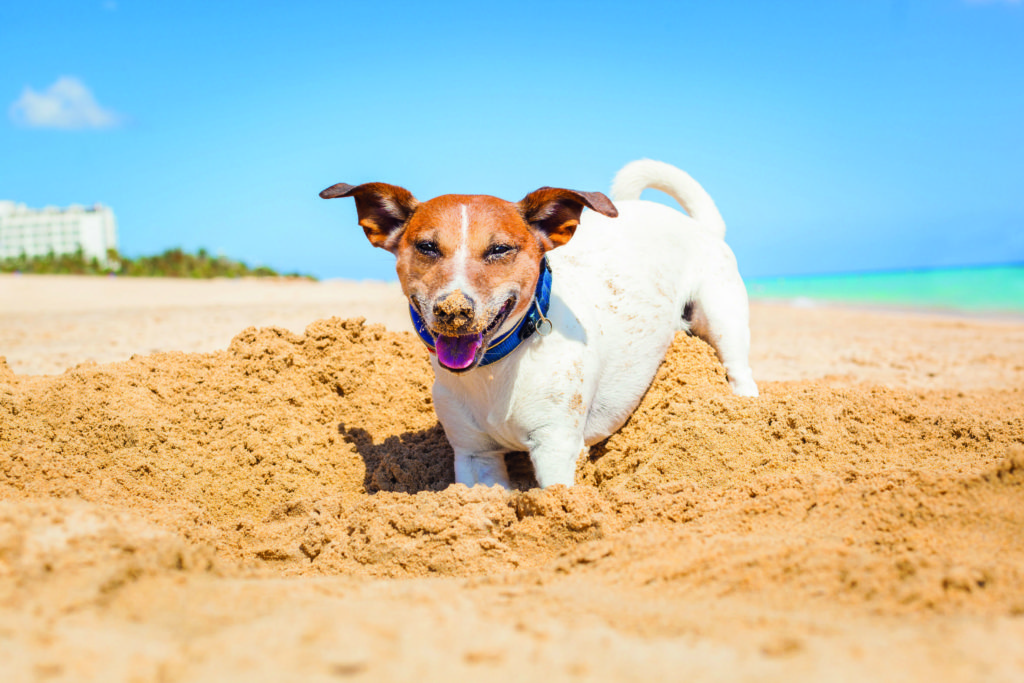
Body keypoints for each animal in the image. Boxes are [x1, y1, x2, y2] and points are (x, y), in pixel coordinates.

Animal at [323, 160, 757, 489]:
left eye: (499, 249)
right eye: (427, 247)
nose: (453, 310)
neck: (496, 370)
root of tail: (701, 226)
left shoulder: (555, 448)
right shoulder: (475, 455)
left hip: (724, 319)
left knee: (740, 371)